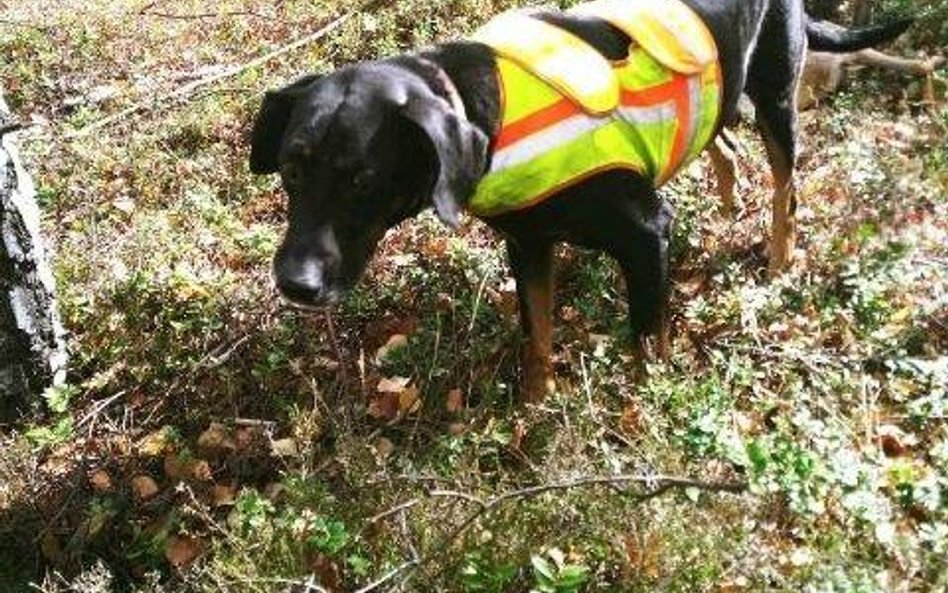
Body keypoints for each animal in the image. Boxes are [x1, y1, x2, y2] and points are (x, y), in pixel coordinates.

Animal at [250, 0, 912, 400]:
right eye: (290, 168)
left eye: (362, 180)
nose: (294, 284)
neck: (488, 107)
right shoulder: (529, 245)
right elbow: (538, 340)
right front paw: (532, 413)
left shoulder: (648, 237)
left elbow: (647, 349)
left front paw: (640, 424)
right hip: (722, 93)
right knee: (722, 141)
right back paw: (725, 210)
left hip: (776, 95)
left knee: (786, 189)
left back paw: (778, 259)